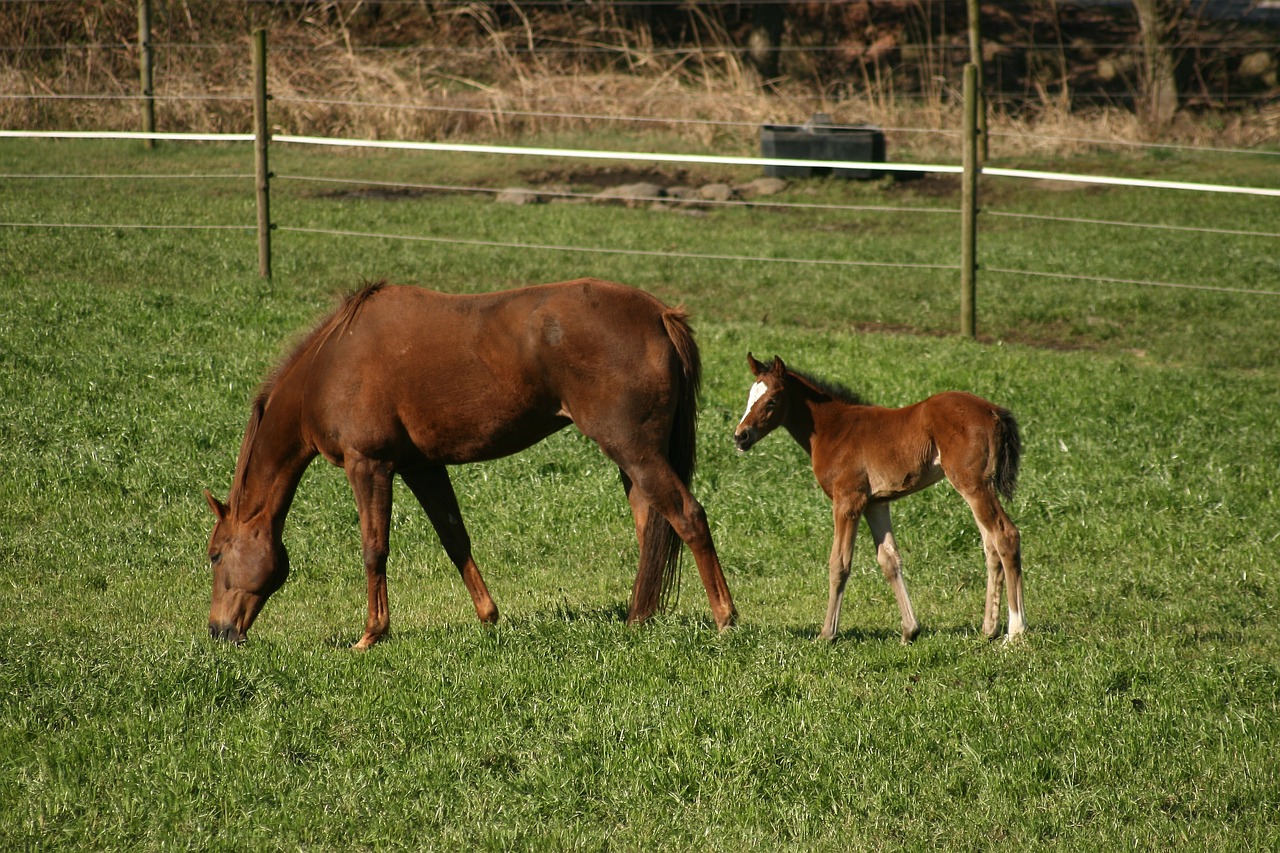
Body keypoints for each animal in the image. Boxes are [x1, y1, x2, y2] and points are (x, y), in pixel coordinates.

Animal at [203, 279, 737, 645]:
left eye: (214, 555)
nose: (217, 631)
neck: (329, 364)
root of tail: (659, 315)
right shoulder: (421, 467)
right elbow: (454, 538)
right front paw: (488, 617)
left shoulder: (369, 464)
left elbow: (374, 548)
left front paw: (372, 633)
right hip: (633, 461)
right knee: (652, 531)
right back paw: (638, 618)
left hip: (634, 451)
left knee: (687, 516)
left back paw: (725, 619)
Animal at [737, 356, 1024, 640]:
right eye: (750, 396)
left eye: (772, 400)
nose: (741, 436)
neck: (833, 429)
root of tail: (993, 411)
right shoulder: (875, 504)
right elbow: (889, 560)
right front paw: (910, 630)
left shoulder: (847, 502)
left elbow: (839, 564)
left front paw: (827, 633)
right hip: (979, 486)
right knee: (990, 547)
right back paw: (989, 629)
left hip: (973, 485)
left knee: (1005, 535)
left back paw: (1016, 631)